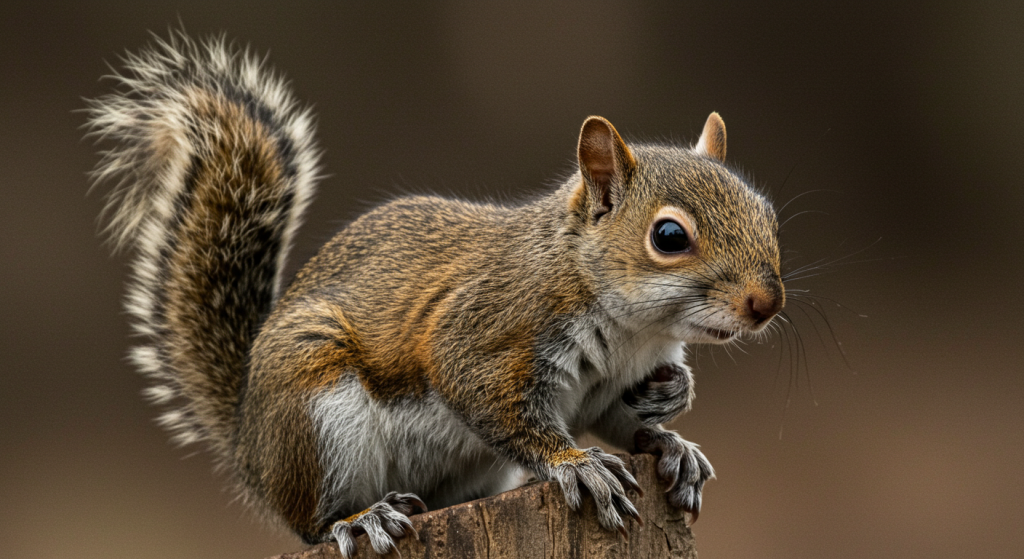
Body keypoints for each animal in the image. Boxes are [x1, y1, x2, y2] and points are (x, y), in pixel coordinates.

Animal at [86, 33, 784, 558]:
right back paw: (359, 519)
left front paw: (672, 431)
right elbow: (491, 400)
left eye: (768, 214)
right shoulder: (491, 330)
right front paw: (574, 464)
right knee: (312, 523)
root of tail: (249, 444)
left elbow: (618, 419)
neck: (633, 329)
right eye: (668, 236)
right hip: (315, 409)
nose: (766, 304)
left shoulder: (606, 386)